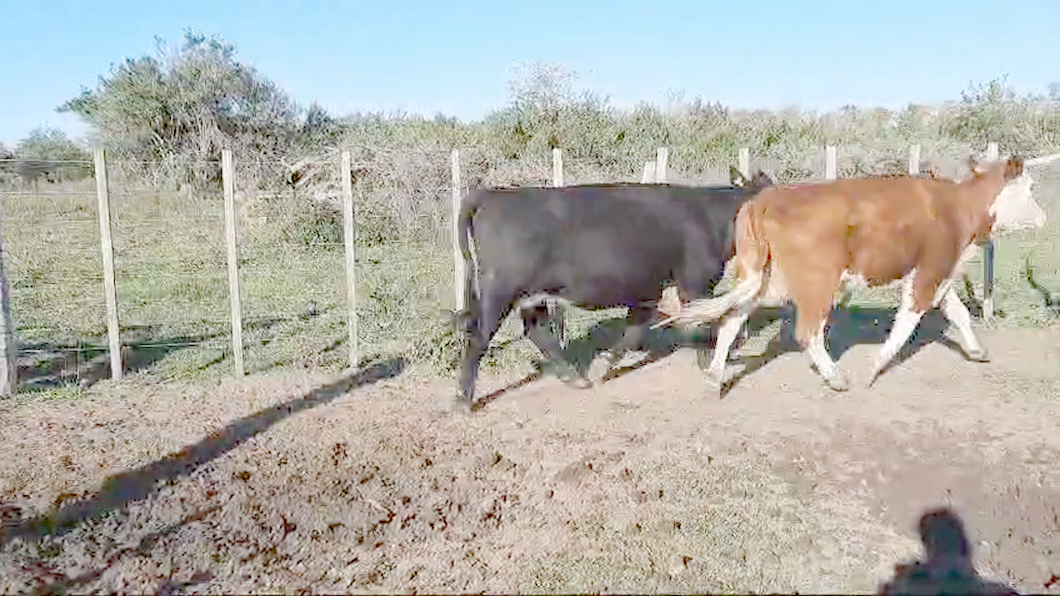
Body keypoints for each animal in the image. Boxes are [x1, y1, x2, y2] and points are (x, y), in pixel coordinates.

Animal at [453, 167, 771, 407]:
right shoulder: (696, 281)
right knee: (478, 335)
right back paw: (463, 400)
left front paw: (607, 364)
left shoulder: (647, 289)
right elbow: (703, 323)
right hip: (499, 289)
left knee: (538, 330)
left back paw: (576, 378)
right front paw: (709, 365)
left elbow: (634, 328)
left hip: (532, 295)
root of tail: (493, 194)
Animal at [657, 155, 1047, 392]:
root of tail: (765, 199)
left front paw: (978, 351)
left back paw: (716, 375)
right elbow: (907, 323)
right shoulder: (929, 273)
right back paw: (834, 377)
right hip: (818, 282)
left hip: (764, 277)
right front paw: (875, 367)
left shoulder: (939, 274)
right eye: (1030, 188)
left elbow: (960, 313)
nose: (1044, 217)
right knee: (807, 332)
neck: (956, 207)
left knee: (732, 319)